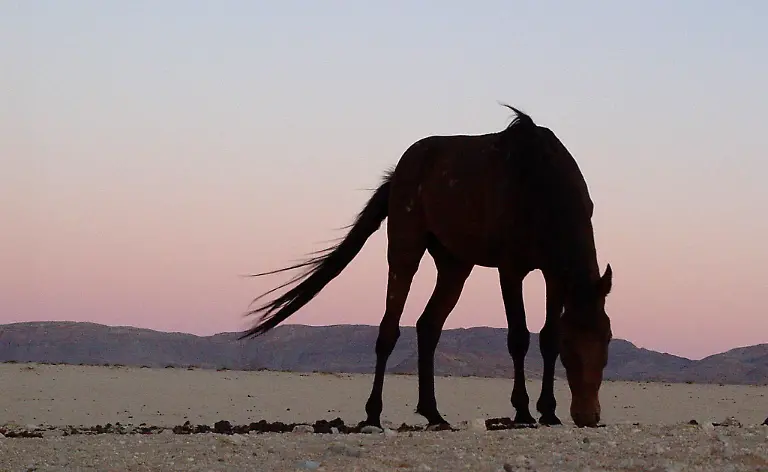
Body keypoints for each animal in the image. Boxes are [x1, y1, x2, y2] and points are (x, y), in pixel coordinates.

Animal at [239, 105, 614, 428]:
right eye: (571, 348)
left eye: (608, 338)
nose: (587, 415)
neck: (541, 184)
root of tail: (398, 171)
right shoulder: (511, 269)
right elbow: (519, 337)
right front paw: (522, 411)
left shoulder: (554, 274)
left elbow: (546, 337)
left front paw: (548, 412)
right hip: (405, 249)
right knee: (389, 330)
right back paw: (373, 415)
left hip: (454, 264)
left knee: (428, 326)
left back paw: (433, 413)